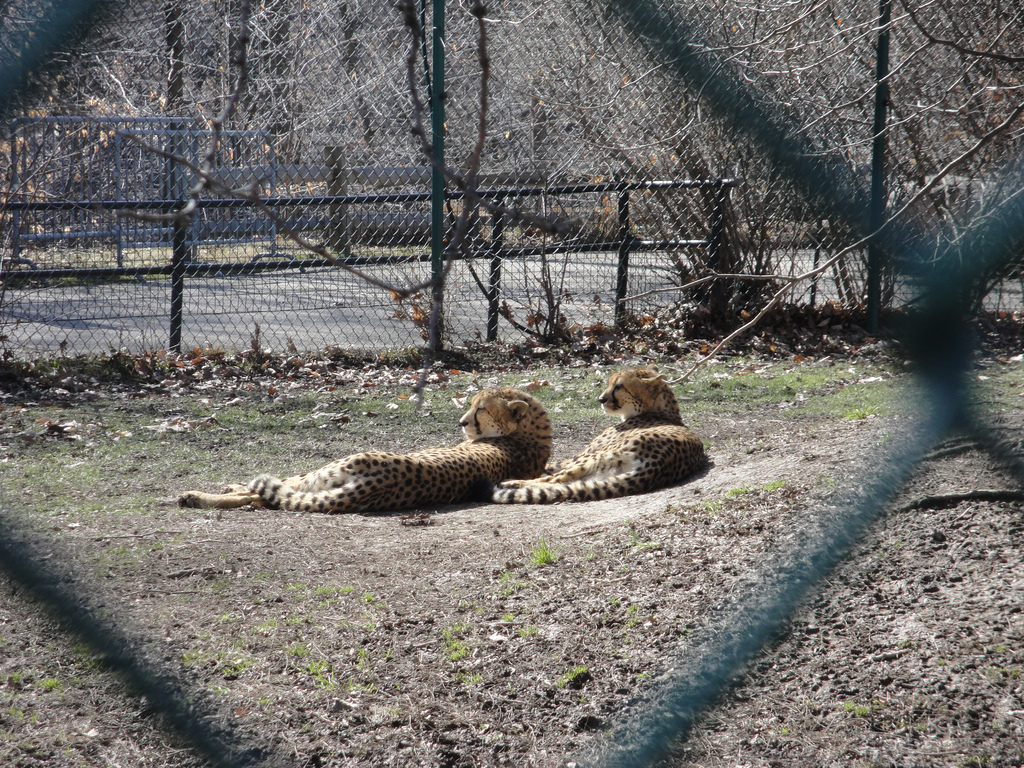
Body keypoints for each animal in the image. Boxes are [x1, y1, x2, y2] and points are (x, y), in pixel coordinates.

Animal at [178, 387, 552, 514]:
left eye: (481, 409)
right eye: (471, 404)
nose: (461, 422)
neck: (530, 435)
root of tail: (380, 482)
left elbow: (283, 482)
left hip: (333, 469)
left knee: (266, 493)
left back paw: (195, 496)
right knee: (264, 499)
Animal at [491, 366, 705, 504]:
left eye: (619, 386)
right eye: (609, 383)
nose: (601, 399)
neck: (659, 410)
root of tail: (655, 467)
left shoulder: (579, 456)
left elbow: (551, 468)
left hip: (594, 457)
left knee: (552, 481)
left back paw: (512, 482)